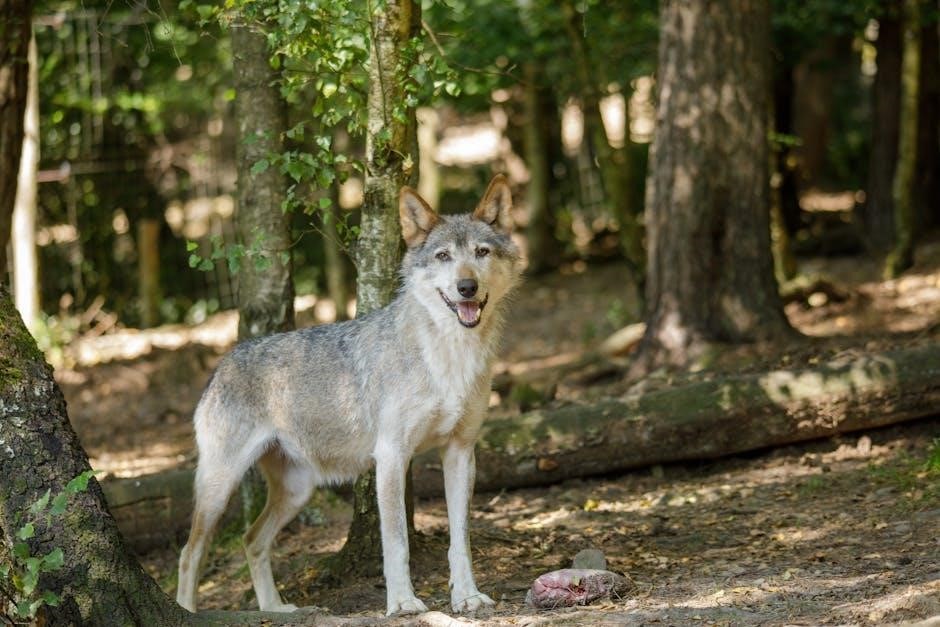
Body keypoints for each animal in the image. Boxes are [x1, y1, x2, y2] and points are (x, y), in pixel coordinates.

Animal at [177, 175, 522, 616]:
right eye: (443, 256)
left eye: (481, 252)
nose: (467, 287)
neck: (449, 356)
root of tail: (221, 365)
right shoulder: (391, 456)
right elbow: (397, 542)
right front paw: (403, 603)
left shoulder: (460, 452)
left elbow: (460, 540)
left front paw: (467, 597)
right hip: (220, 488)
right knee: (190, 552)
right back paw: (185, 612)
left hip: (297, 491)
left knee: (251, 540)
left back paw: (275, 609)